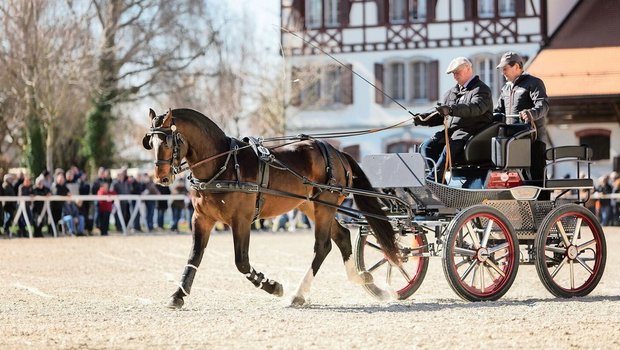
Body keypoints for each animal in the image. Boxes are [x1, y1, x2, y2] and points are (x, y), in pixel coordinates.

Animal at [143, 108, 400, 308]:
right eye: (151, 142)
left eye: (168, 141)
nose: (161, 178)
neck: (222, 164)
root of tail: (338, 153)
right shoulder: (201, 218)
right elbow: (194, 256)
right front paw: (178, 295)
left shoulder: (241, 220)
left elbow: (241, 262)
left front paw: (272, 285)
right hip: (310, 206)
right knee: (342, 236)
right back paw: (364, 280)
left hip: (324, 206)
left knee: (323, 246)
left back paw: (299, 294)